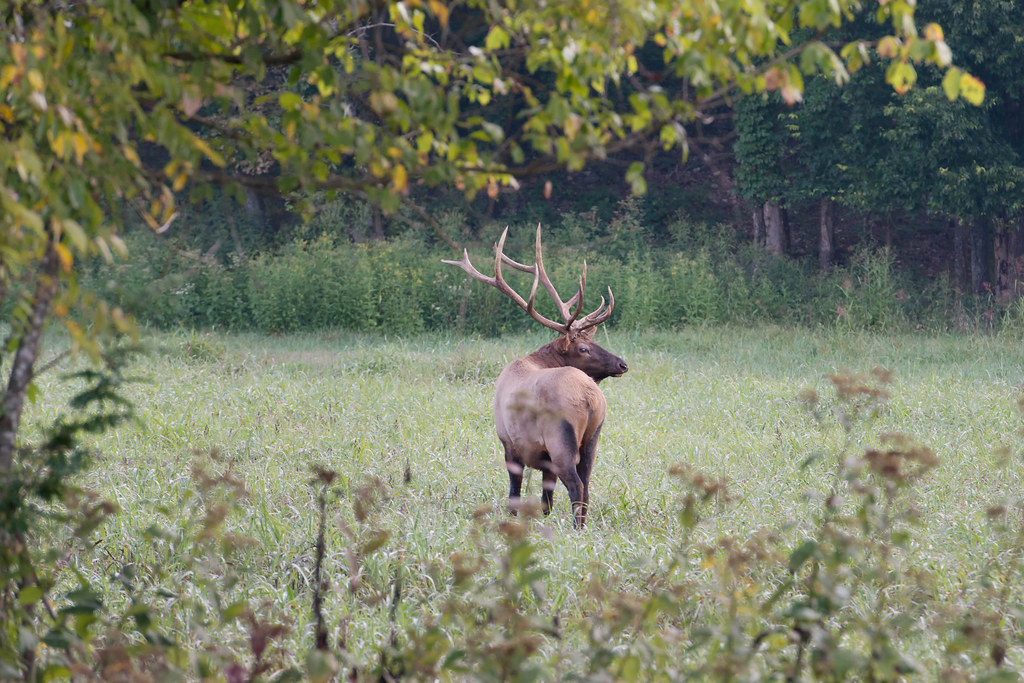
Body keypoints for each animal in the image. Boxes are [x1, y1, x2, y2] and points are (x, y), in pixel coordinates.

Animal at [443, 225, 628, 528]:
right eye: (585, 347)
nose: (622, 364)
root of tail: (591, 397)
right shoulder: (545, 459)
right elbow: (546, 502)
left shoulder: (509, 442)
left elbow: (514, 495)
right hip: (593, 438)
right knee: (587, 486)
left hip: (560, 440)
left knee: (577, 486)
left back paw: (576, 530)